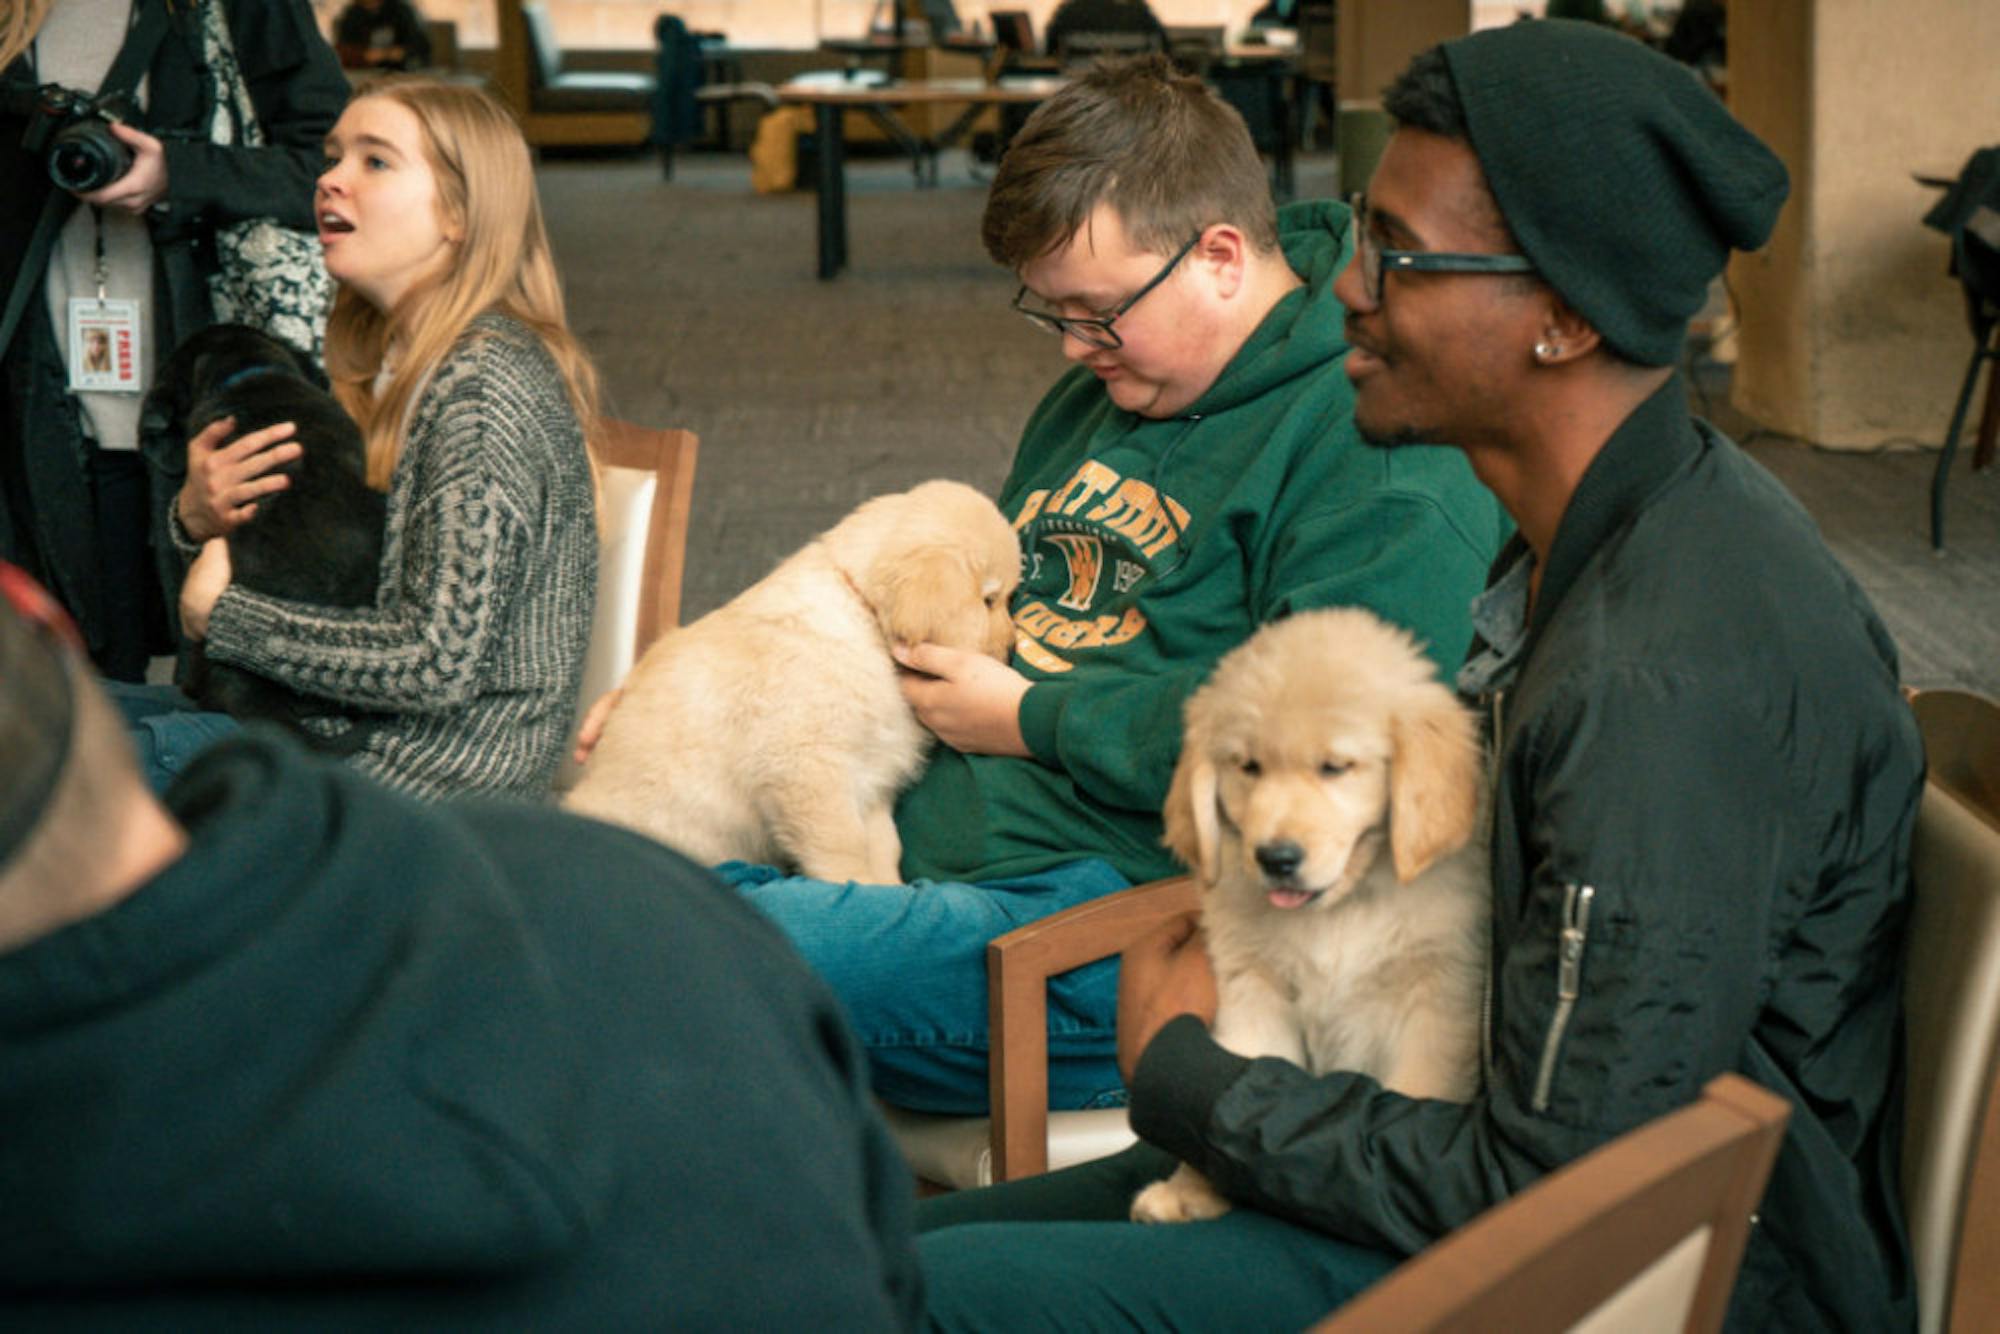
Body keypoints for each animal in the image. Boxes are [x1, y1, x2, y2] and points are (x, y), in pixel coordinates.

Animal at [568, 482, 1024, 888]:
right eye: (989, 601)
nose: (1012, 645)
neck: (861, 613)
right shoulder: (806, 767)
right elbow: (843, 845)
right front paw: (861, 889)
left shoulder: (872, 776)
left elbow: (883, 844)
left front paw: (889, 887)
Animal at [1128, 612, 1488, 1224]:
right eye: (1248, 767)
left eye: (1335, 767)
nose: (1276, 858)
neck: (1344, 909)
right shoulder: (1253, 986)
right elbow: (1238, 1070)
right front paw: (1190, 1188)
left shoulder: (1437, 1000)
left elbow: (1417, 1091)